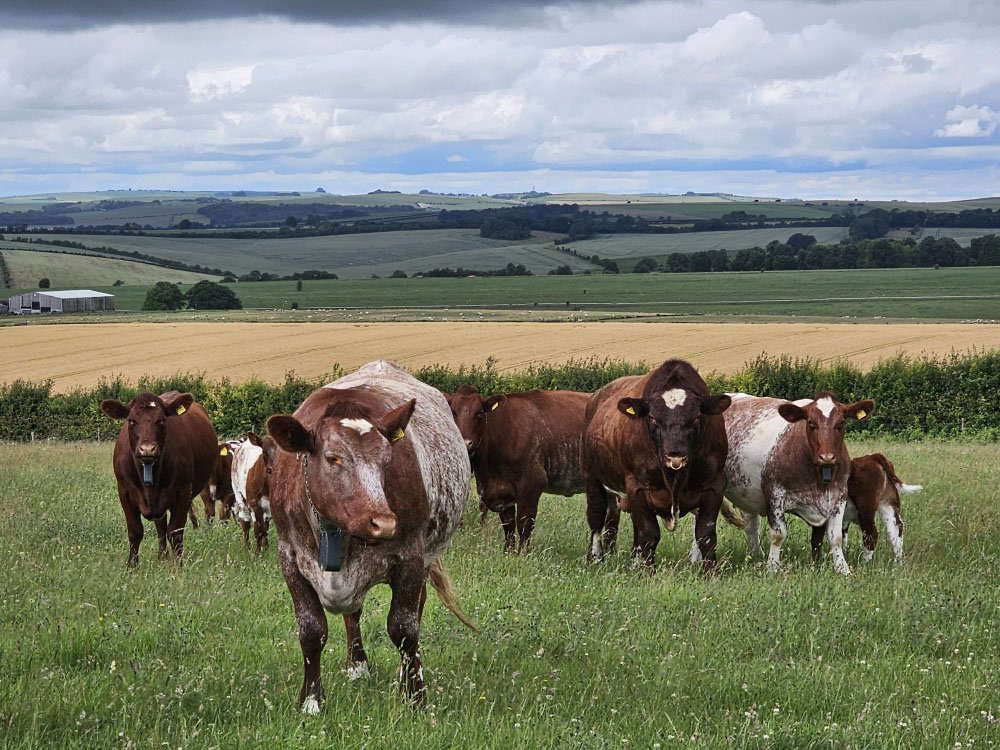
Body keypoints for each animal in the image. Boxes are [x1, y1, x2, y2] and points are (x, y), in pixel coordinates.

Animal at [100, 390, 219, 568]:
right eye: (132, 421)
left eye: (161, 420)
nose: (147, 449)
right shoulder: (124, 492)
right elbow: (135, 531)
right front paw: (132, 566)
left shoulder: (183, 492)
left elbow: (175, 532)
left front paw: (179, 566)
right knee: (160, 527)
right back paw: (162, 556)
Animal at [265, 360, 474, 711]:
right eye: (333, 458)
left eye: (386, 459)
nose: (384, 523)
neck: (334, 531)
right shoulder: (289, 559)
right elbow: (311, 631)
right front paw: (311, 700)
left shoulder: (411, 557)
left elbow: (404, 629)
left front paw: (414, 695)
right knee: (353, 613)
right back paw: (357, 664)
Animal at [446, 385, 590, 552]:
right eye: (453, 412)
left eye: (480, 412)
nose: (465, 442)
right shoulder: (502, 492)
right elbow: (508, 525)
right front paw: (508, 552)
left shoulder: (532, 483)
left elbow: (524, 523)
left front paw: (523, 553)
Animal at [581, 359, 732, 572]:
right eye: (652, 417)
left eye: (696, 417)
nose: (675, 455)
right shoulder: (637, 487)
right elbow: (649, 533)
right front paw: (647, 571)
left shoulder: (715, 485)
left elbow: (706, 534)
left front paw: (711, 572)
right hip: (592, 477)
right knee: (596, 516)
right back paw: (595, 558)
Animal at [723, 391, 874, 575]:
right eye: (811, 423)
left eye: (841, 423)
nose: (827, 457)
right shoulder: (774, 494)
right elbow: (778, 535)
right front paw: (772, 568)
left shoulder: (840, 496)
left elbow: (836, 537)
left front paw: (842, 569)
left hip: (747, 493)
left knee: (751, 524)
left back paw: (756, 555)